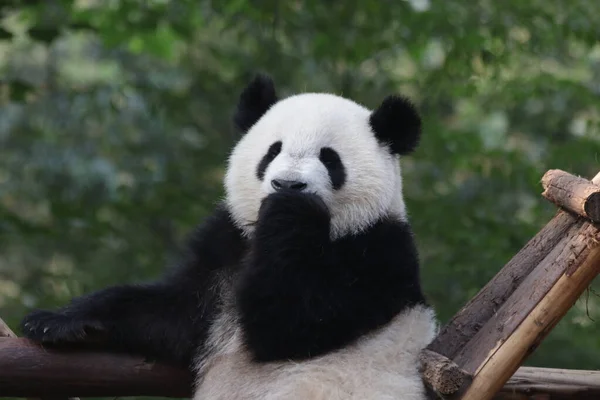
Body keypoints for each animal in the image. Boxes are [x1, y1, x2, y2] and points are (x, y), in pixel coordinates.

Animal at [21, 73, 438, 398]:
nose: (288, 184)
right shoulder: (227, 245)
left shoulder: (380, 253)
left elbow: (293, 322)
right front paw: (56, 321)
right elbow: (172, 312)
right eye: (273, 151)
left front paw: (289, 212)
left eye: (329, 158)